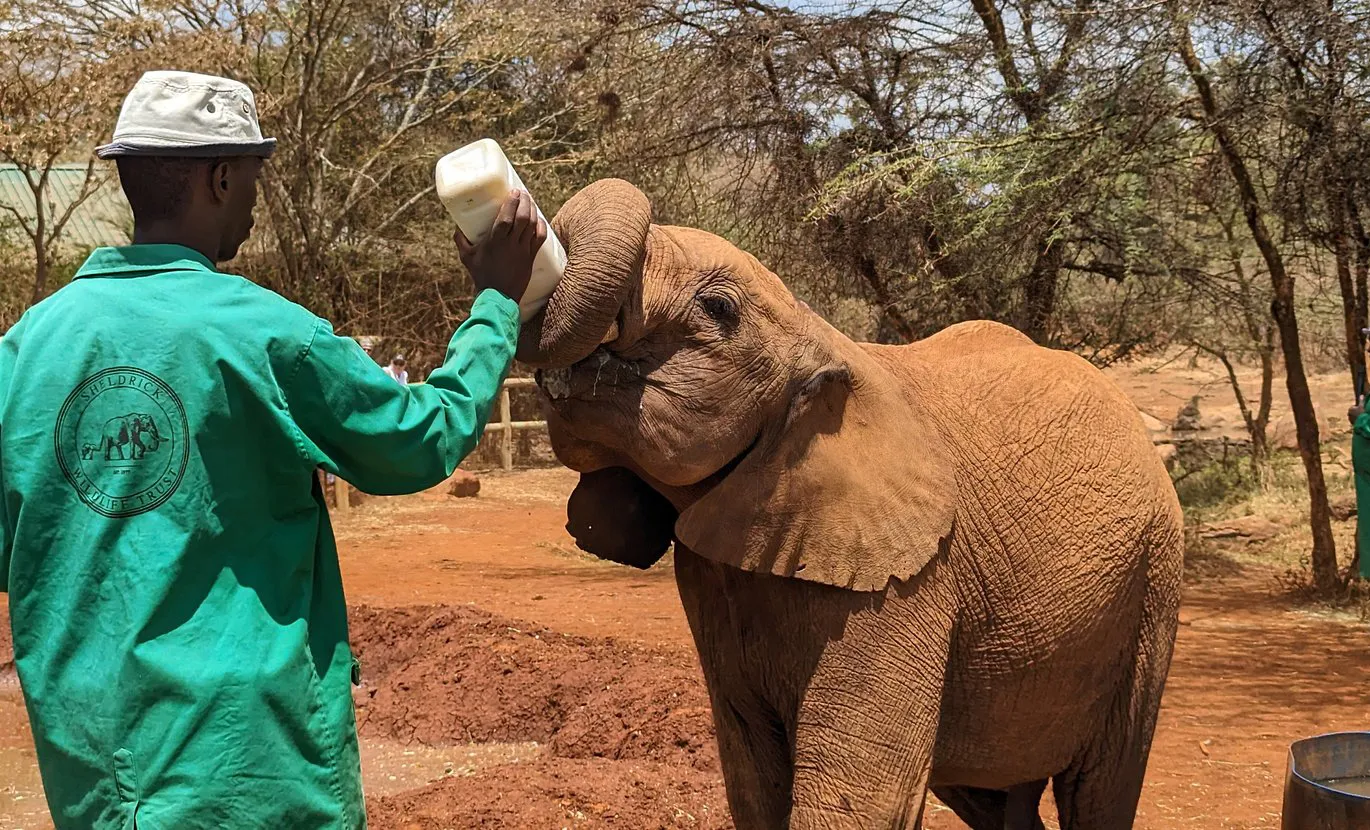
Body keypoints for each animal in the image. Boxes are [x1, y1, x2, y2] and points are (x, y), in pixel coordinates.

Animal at [517, 179, 1183, 827]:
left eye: (718, 309)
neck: (823, 338)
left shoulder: (907, 582)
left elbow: (861, 798)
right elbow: (753, 784)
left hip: (1152, 585)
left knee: (1101, 790)